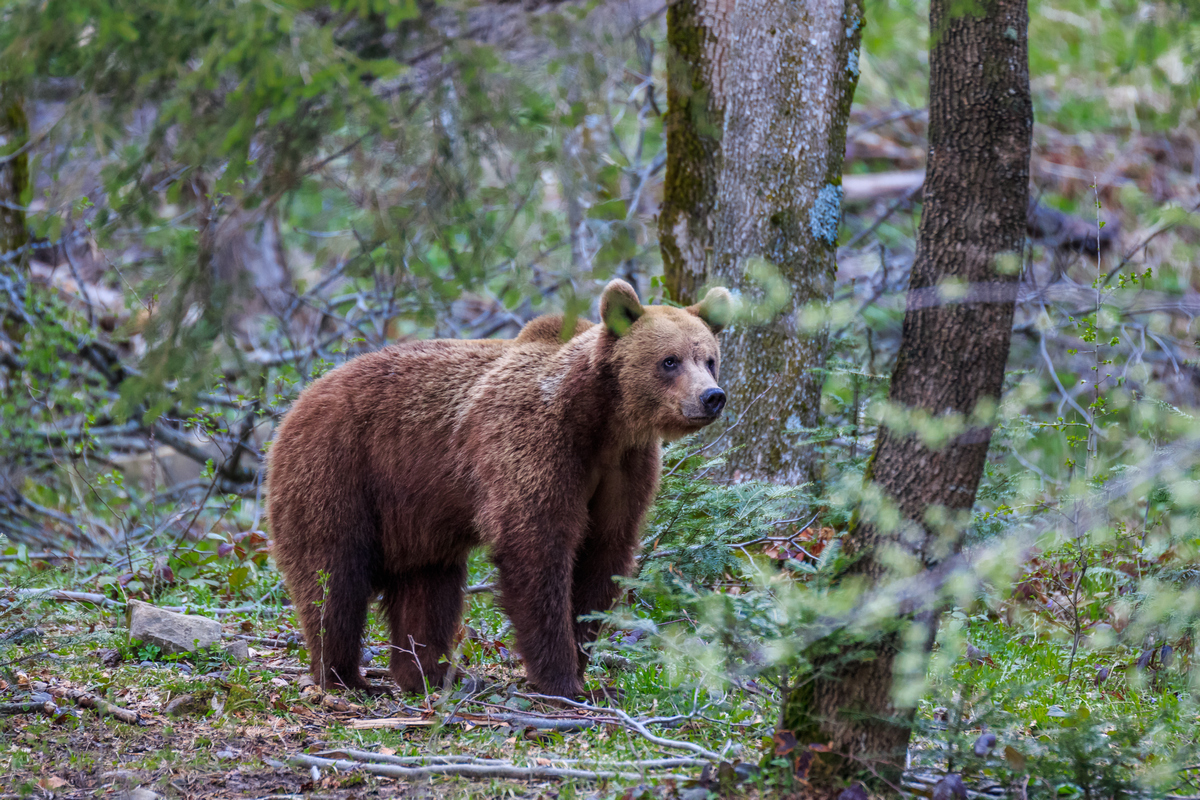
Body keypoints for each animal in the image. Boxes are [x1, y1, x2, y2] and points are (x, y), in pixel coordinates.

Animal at [266, 278, 724, 695]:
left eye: (710, 359)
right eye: (669, 360)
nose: (712, 397)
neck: (601, 420)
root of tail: (300, 400)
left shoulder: (624, 469)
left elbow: (604, 553)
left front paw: (584, 667)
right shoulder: (533, 444)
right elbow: (537, 548)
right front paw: (560, 678)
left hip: (415, 516)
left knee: (429, 589)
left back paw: (432, 675)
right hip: (338, 469)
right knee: (334, 577)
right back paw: (346, 677)